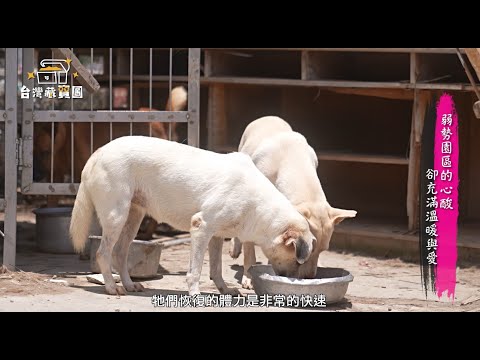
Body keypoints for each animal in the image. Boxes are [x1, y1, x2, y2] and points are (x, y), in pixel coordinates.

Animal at [67, 136, 316, 296]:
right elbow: (195, 271)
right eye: (297, 259)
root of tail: (97, 153)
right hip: (116, 216)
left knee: (119, 253)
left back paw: (129, 285)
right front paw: (195, 294)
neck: (257, 203)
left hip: (133, 217)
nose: (300, 280)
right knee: (103, 253)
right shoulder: (200, 227)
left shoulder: (216, 236)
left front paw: (224, 289)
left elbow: (216, 268)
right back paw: (111, 287)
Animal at [229, 116, 356, 288]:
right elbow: (249, 248)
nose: (310, 278)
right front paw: (249, 277)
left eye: (322, 250)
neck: (293, 160)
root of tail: (268, 117)